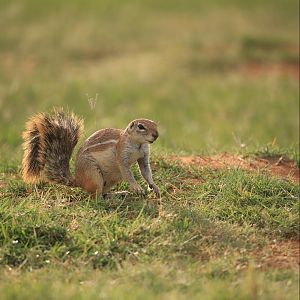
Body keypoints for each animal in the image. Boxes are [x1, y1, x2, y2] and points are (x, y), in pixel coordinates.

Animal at [22, 109, 161, 198]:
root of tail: (78, 180)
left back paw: (119, 194)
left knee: (103, 193)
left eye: (155, 124)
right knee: (95, 198)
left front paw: (154, 187)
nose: (156, 135)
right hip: (94, 174)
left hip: (113, 178)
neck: (138, 144)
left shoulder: (144, 156)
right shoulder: (122, 155)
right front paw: (137, 188)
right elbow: (127, 173)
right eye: (141, 126)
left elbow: (146, 172)